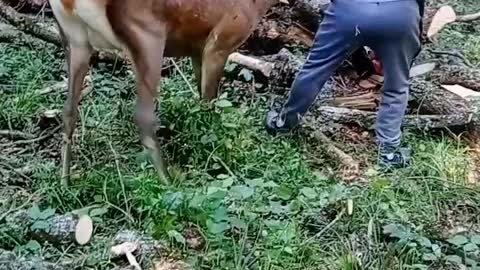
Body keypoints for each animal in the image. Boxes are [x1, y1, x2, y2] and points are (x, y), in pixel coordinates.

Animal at [48, 0, 284, 186]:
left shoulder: (196, 48)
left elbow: (200, 101)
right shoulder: (220, 40)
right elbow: (209, 105)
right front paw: (212, 155)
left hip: (74, 39)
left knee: (68, 110)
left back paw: (65, 184)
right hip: (147, 36)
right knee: (142, 116)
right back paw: (169, 183)